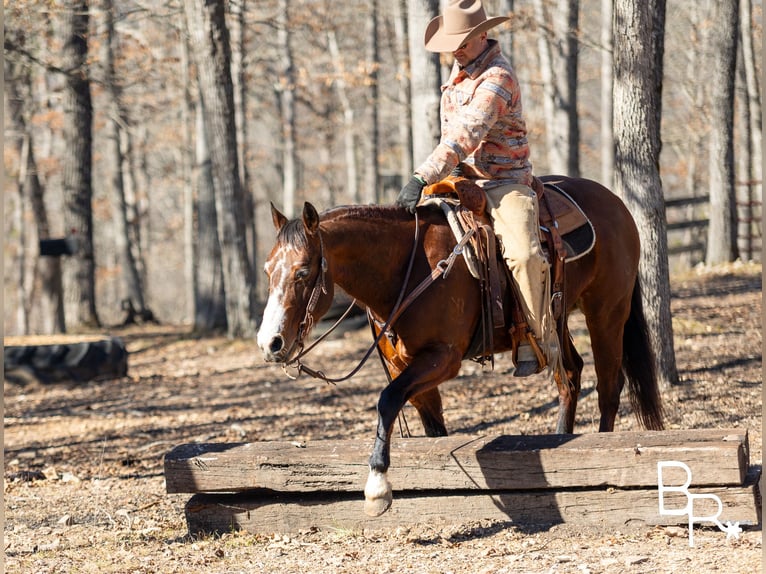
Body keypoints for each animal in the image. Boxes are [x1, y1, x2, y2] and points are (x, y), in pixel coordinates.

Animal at [258, 176, 664, 516]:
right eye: (267, 270)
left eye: (303, 272)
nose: (270, 342)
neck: (407, 268)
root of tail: (615, 201)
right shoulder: (405, 367)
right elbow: (430, 424)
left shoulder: (442, 358)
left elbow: (387, 400)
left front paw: (377, 487)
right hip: (556, 320)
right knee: (570, 375)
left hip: (607, 310)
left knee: (608, 385)